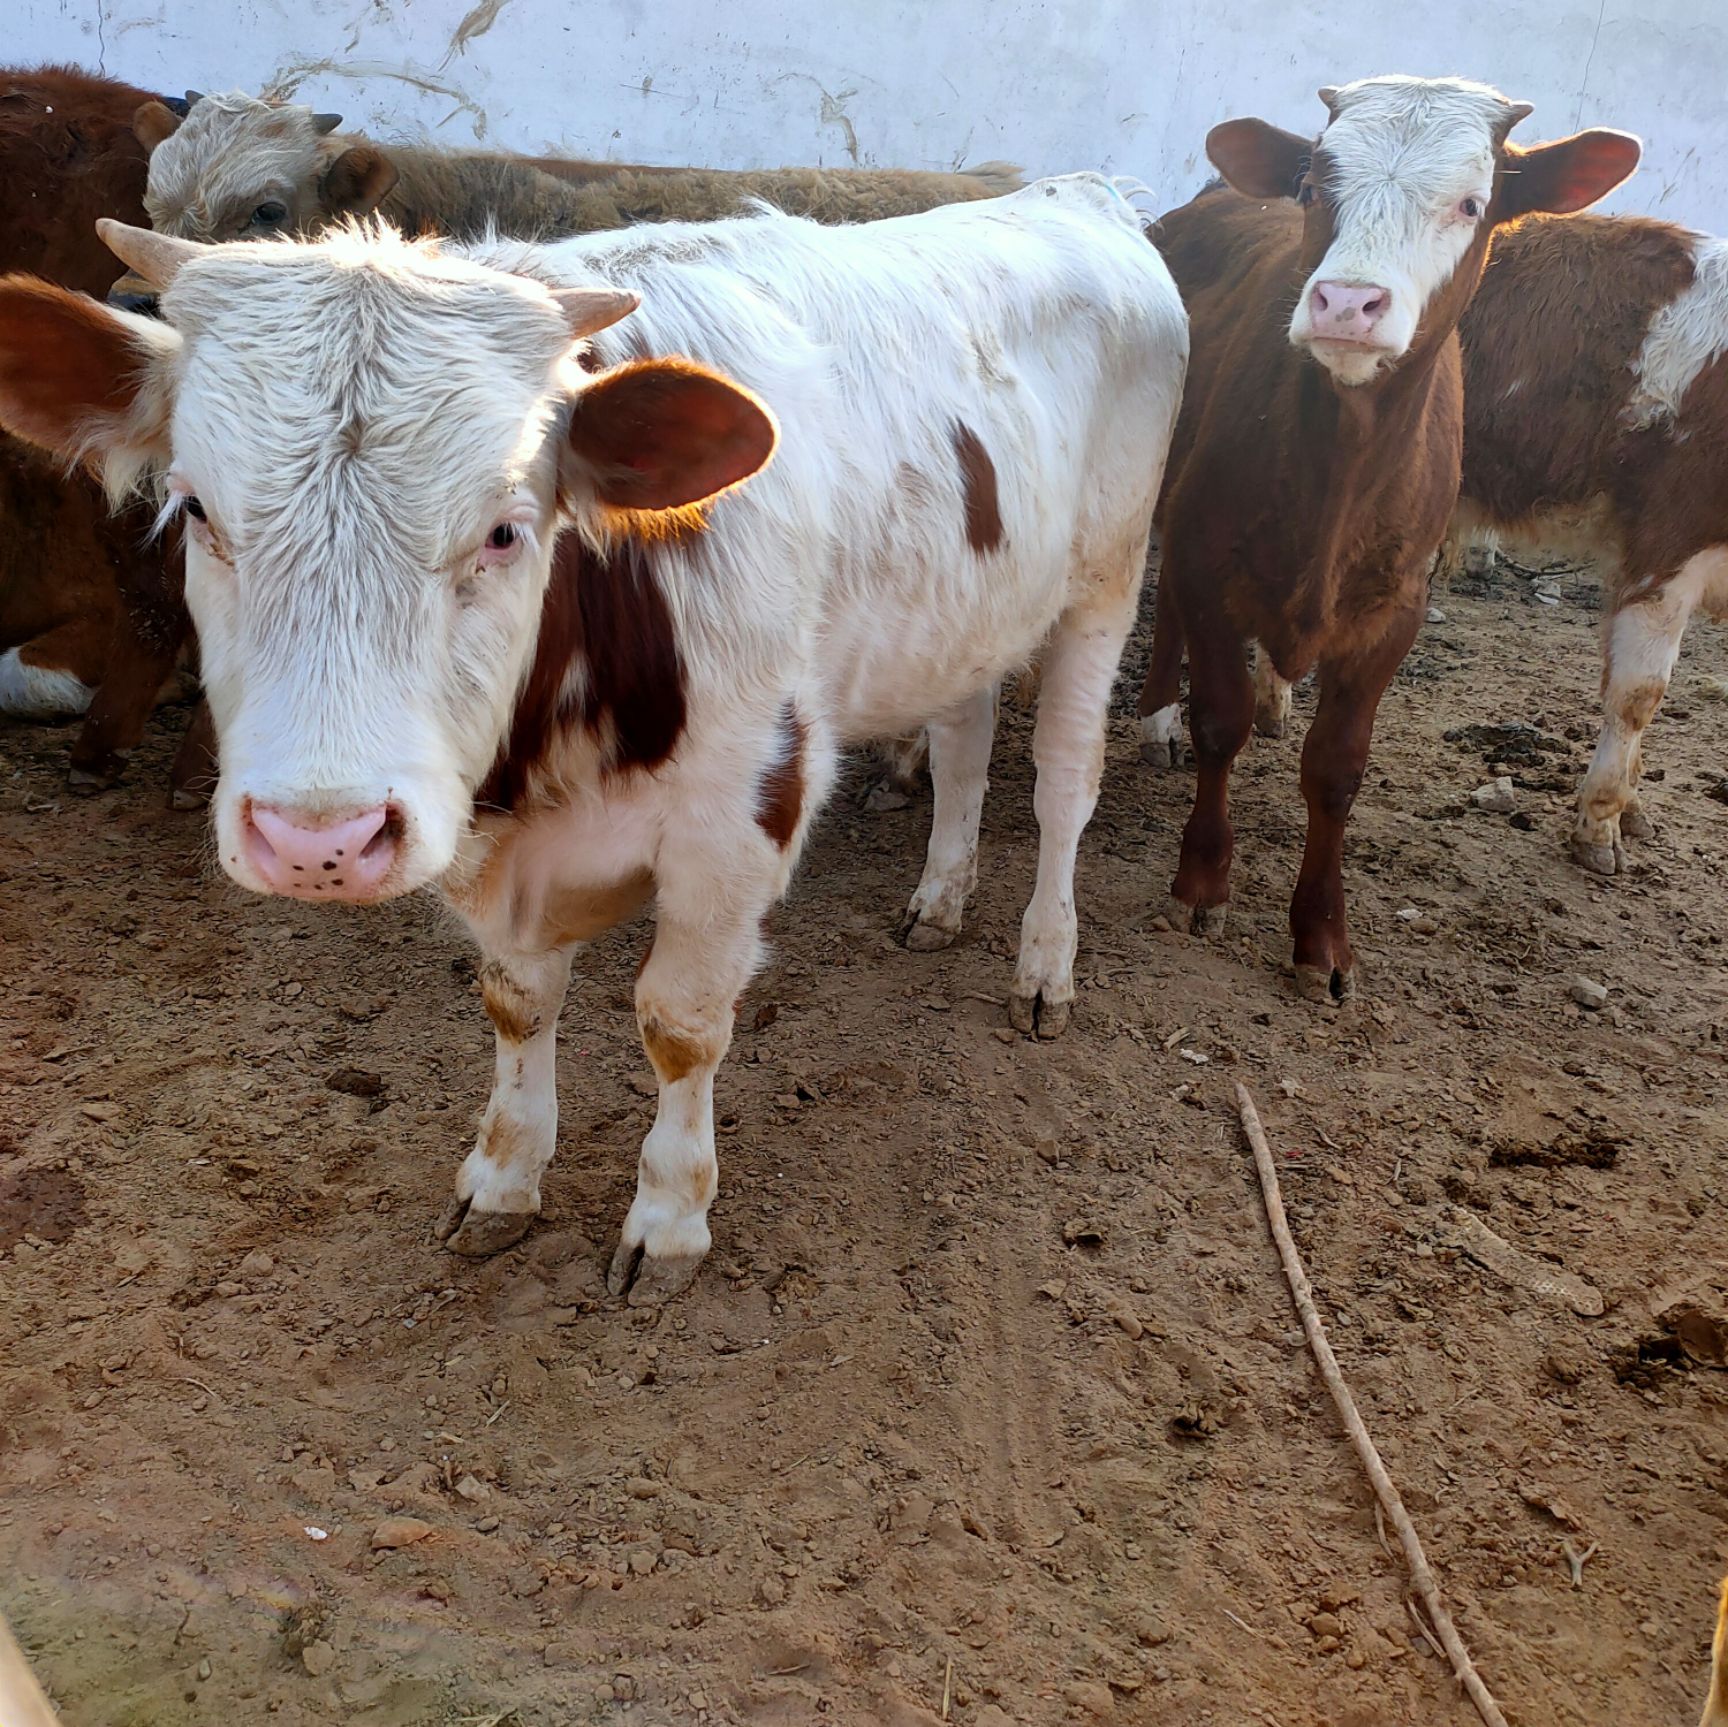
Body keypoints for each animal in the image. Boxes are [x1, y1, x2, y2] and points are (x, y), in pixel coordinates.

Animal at [0, 182, 1188, 1300]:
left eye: (504, 529)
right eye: (197, 510)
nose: (316, 840)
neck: (546, 759)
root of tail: (1069, 192)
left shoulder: (740, 817)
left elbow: (682, 1023)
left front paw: (669, 1216)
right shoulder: (490, 840)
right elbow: (517, 1002)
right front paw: (502, 1177)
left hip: (1108, 579)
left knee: (1064, 784)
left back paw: (1045, 964)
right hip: (967, 615)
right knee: (963, 743)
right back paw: (940, 896)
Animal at [1140, 77, 1638, 1002]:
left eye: (1474, 204)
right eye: (1311, 187)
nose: (1346, 303)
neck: (1340, 459)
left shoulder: (1394, 610)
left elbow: (1337, 769)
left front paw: (1321, 938)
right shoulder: (1203, 552)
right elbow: (1218, 721)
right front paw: (1202, 883)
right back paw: (1156, 717)